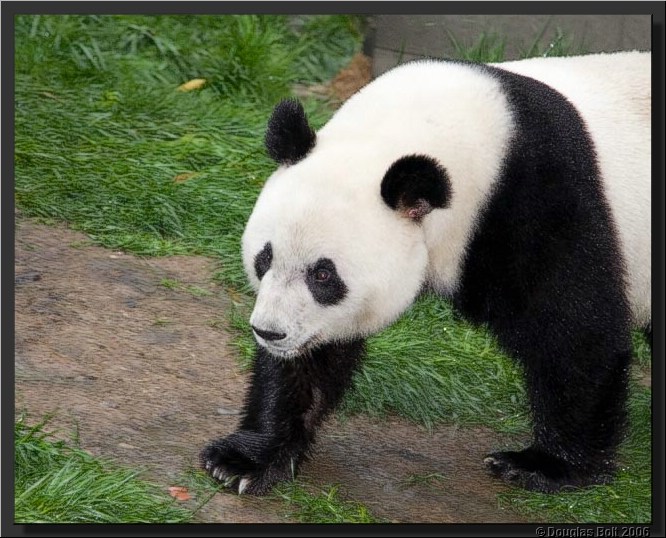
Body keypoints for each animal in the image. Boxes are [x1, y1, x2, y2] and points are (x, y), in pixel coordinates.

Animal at [201, 51, 651, 496]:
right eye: (264, 259)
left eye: (324, 276)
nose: (269, 332)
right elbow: (314, 355)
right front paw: (246, 459)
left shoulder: (542, 199)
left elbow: (573, 328)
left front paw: (546, 465)